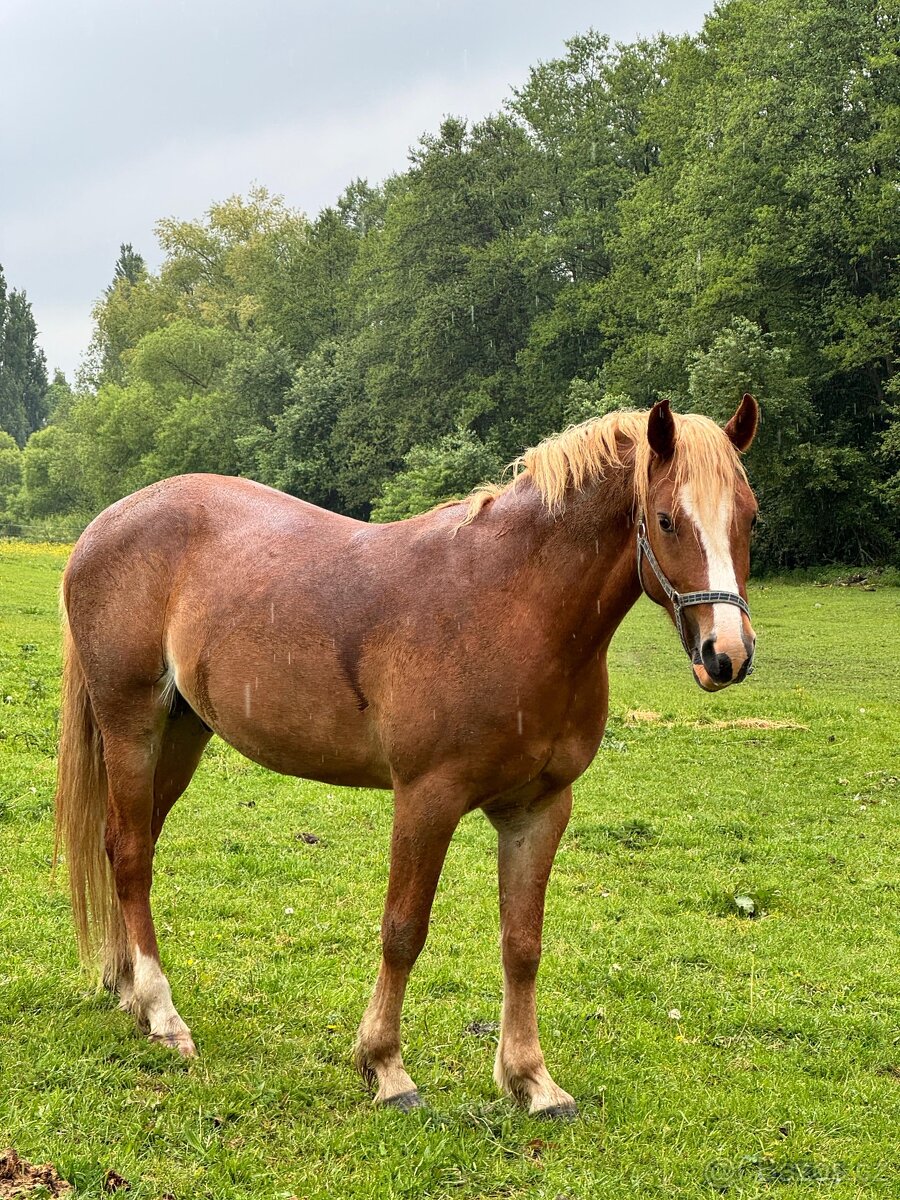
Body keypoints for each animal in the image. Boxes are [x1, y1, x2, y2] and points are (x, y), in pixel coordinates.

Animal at [54, 394, 758, 1117]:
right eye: (667, 520)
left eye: (750, 516)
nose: (726, 655)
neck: (511, 606)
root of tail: (102, 527)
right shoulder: (427, 799)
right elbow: (403, 931)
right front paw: (385, 1067)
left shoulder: (538, 809)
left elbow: (522, 945)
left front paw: (531, 1080)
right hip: (131, 725)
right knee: (131, 855)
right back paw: (162, 1014)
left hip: (181, 733)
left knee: (127, 845)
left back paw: (127, 988)